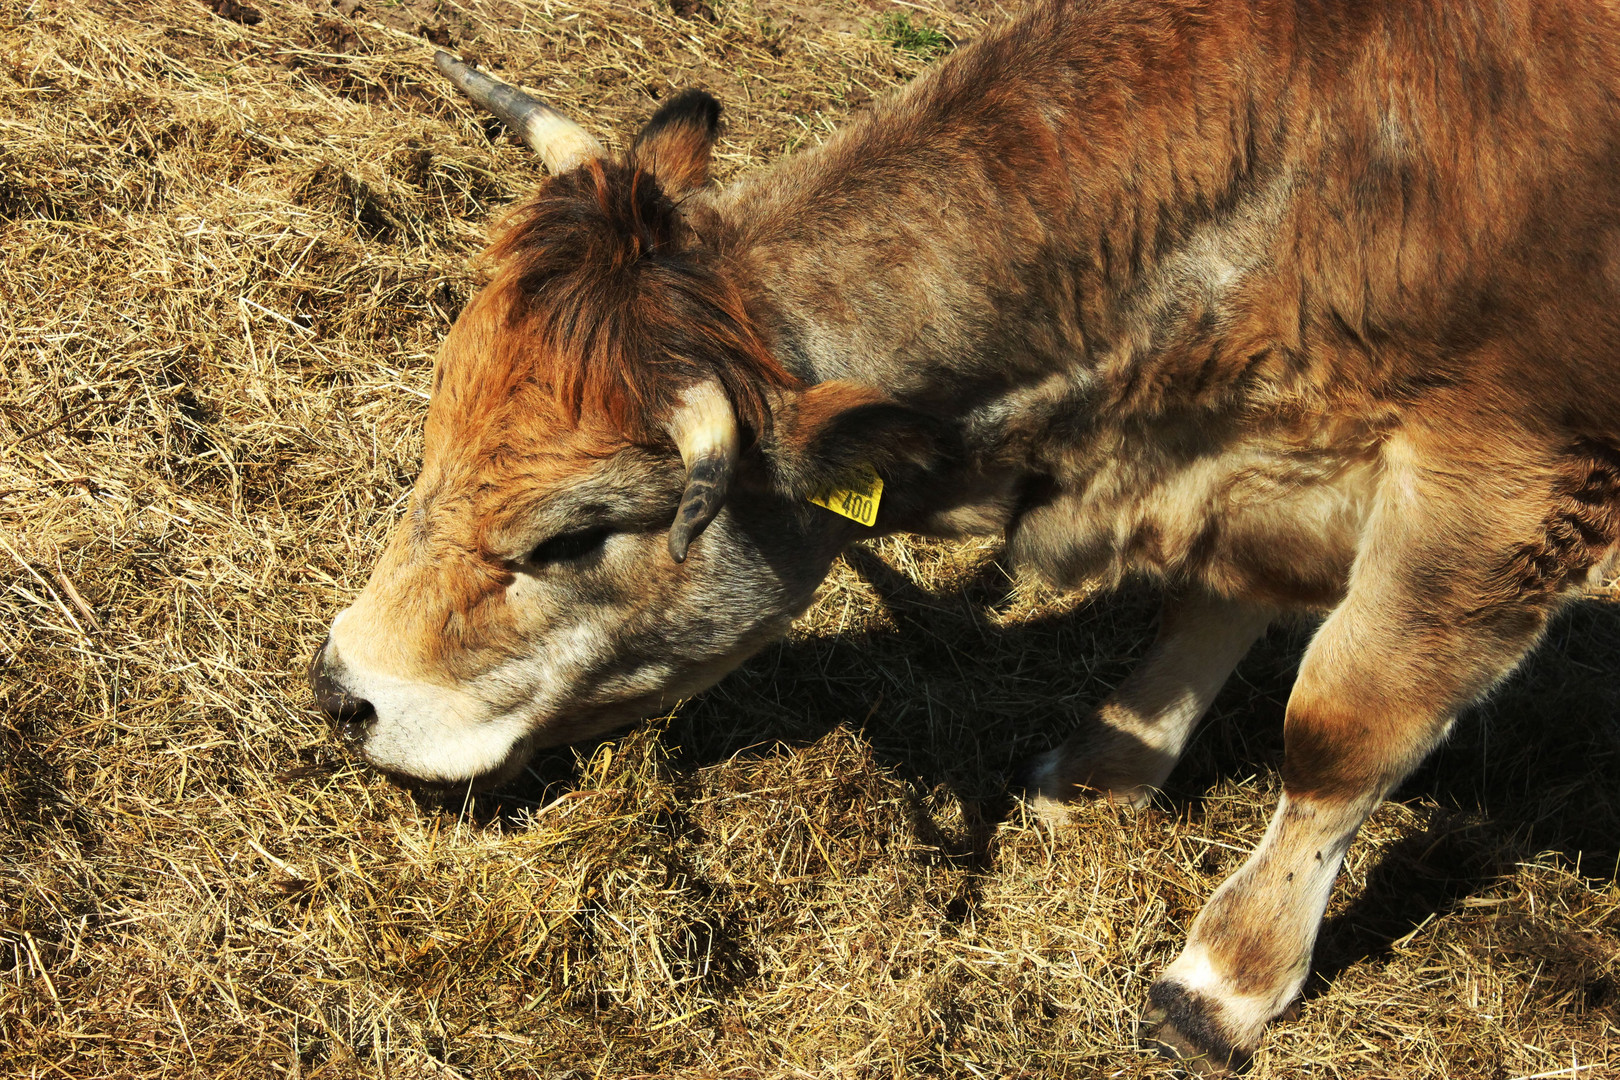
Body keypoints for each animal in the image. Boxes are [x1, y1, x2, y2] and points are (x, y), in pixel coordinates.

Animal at [309, 2, 1620, 1075]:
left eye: (577, 537)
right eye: (435, 431)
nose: (343, 689)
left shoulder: (1505, 484)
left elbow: (1343, 726)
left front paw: (1225, 982)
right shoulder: (1262, 454)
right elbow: (1208, 604)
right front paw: (1101, 772)